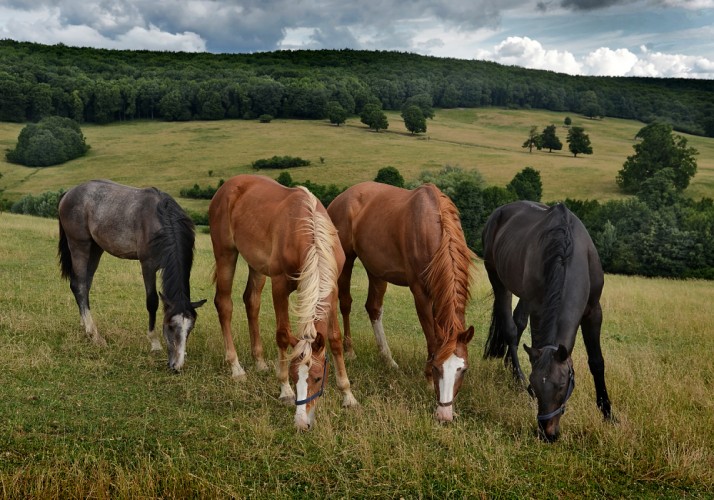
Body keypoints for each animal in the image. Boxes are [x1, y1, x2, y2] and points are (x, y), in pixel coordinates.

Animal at [57, 180, 206, 372]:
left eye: (190, 328)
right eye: (171, 326)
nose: (176, 366)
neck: (162, 222)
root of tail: (69, 192)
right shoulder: (148, 265)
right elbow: (152, 301)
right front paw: (154, 343)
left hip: (95, 248)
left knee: (85, 285)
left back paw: (85, 325)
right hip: (79, 245)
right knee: (79, 286)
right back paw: (94, 335)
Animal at [209, 173, 358, 430]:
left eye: (318, 377)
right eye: (293, 374)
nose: (301, 422)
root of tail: (228, 186)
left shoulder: (331, 289)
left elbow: (335, 340)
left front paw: (347, 394)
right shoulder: (279, 286)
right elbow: (282, 334)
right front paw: (285, 390)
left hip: (256, 266)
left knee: (252, 302)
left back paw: (259, 361)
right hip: (226, 254)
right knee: (224, 304)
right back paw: (236, 367)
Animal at [326, 182, 472, 420]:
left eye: (464, 369)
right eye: (437, 368)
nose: (445, 415)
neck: (431, 226)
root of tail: (342, 197)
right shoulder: (420, 293)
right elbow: (431, 338)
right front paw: (428, 381)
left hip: (376, 270)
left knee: (373, 308)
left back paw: (388, 358)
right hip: (346, 260)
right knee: (346, 303)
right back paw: (350, 351)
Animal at [482, 199, 616, 442]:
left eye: (563, 385)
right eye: (535, 386)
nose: (548, 434)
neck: (567, 252)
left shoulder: (593, 311)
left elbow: (597, 362)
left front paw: (608, 414)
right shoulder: (539, 309)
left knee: (518, 322)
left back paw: (509, 367)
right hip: (497, 279)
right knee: (510, 329)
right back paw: (517, 377)